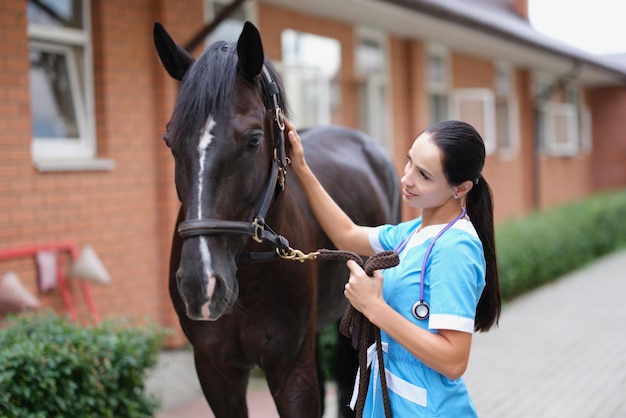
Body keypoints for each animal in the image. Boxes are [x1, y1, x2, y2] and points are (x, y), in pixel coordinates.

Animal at [154, 20, 402, 418]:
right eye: (170, 140)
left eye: (254, 140)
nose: (200, 284)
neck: (249, 278)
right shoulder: (215, 372)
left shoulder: (291, 373)